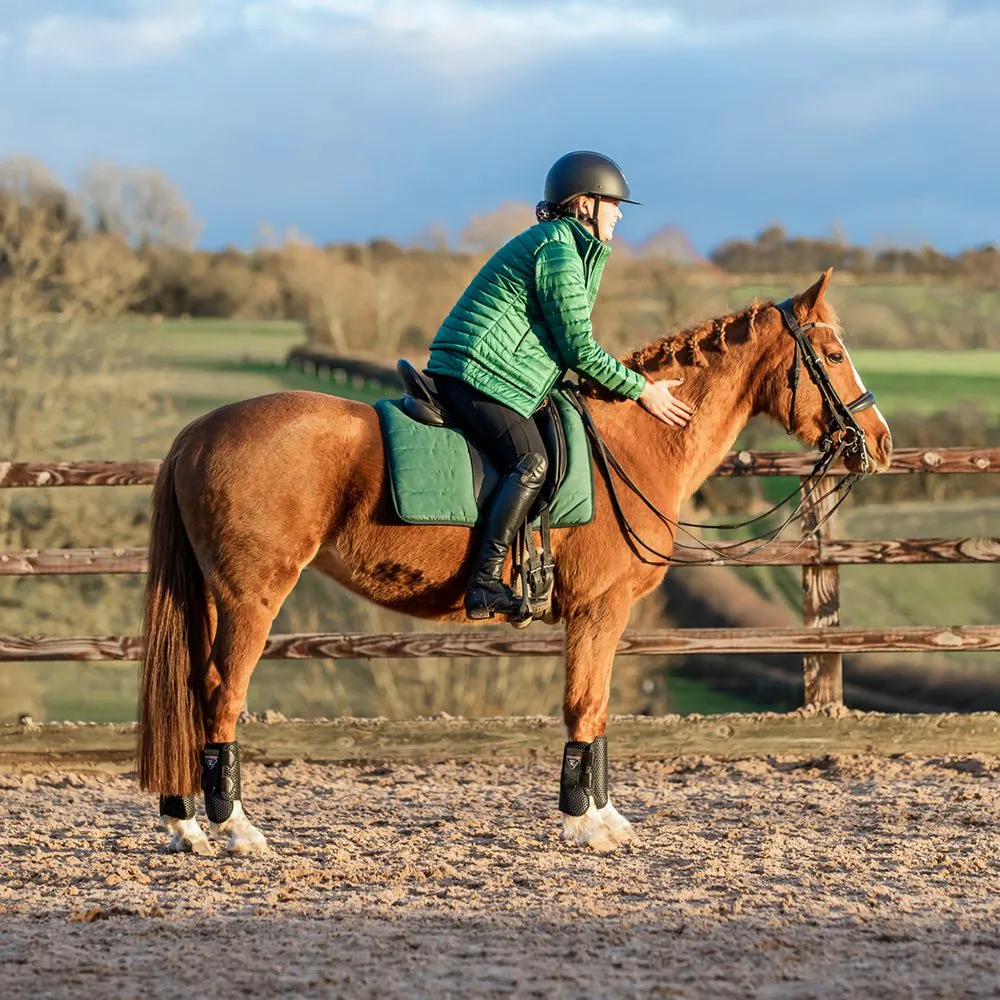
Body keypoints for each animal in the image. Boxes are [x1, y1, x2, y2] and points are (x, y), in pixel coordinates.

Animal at [135, 270, 892, 856]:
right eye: (832, 352)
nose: (880, 443)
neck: (638, 439)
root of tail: (198, 432)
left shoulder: (602, 615)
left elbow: (598, 709)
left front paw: (603, 815)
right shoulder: (599, 609)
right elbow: (585, 705)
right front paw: (585, 824)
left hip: (213, 596)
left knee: (188, 692)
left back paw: (186, 825)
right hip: (251, 597)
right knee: (219, 694)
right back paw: (235, 828)